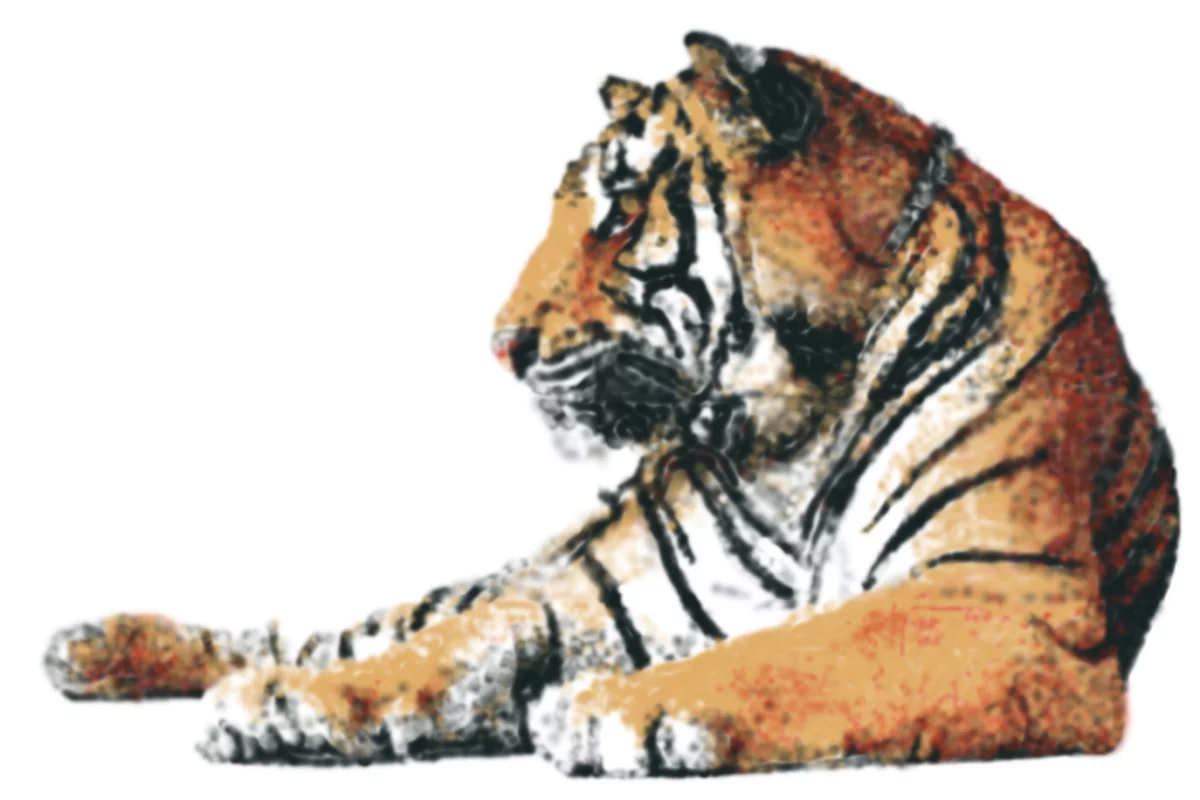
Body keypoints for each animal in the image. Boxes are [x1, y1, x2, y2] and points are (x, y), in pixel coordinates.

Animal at [44, 31, 1179, 776]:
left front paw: (617, 710)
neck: (793, 427)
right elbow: (447, 650)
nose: (499, 345)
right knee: (340, 627)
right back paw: (103, 648)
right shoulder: (601, 594)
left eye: (622, 213)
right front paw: (291, 708)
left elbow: (799, 648)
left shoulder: (1005, 602)